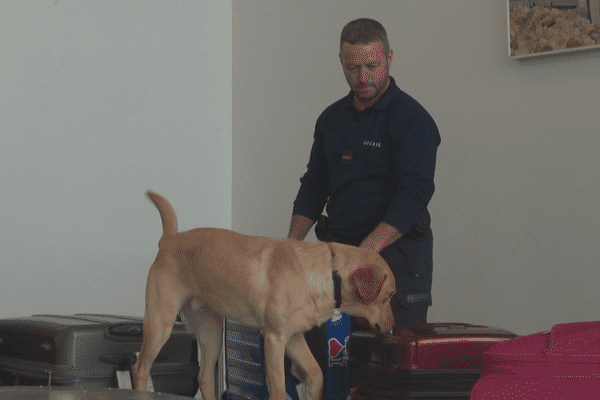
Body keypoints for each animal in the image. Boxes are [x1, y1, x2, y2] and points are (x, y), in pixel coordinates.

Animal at [133, 191, 396, 400]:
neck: (329, 274)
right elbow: (279, 390)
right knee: (140, 369)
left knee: (204, 377)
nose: (393, 328)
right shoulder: (274, 339)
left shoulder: (294, 339)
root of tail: (169, 239)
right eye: (389, 296)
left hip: (211, 334)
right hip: (160, 324)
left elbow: (316, 374)